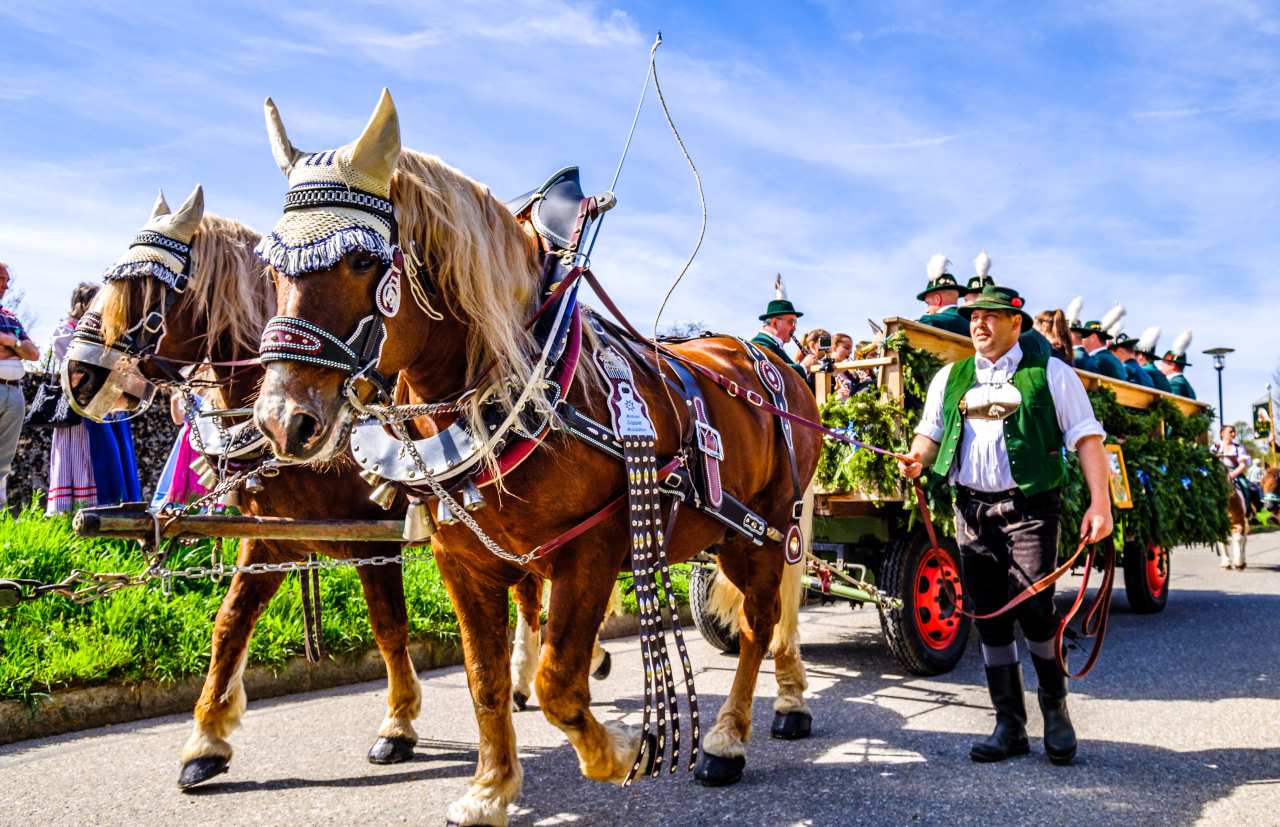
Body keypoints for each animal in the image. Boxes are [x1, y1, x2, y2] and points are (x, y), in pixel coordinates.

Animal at [74, 190, 586, 793]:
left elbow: (389, 627)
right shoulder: (268, 539)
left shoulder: (373, 542)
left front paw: (398, 723)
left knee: (530, 593)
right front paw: (206, 739)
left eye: (148, 288)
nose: (76, 375)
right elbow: (230, 624)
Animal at [252, 92, 819, 827]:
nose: (281, 419)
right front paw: (491, 787)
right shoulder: (464, 561)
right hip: (726, 532)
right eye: (273, 266)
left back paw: (730, 735)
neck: (522, 390)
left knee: (759, 624)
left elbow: (558, 683)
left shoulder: (593, 548)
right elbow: (486, 680)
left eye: (357, 261)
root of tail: (771, 359)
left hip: (766, 529)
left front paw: (621, 750)